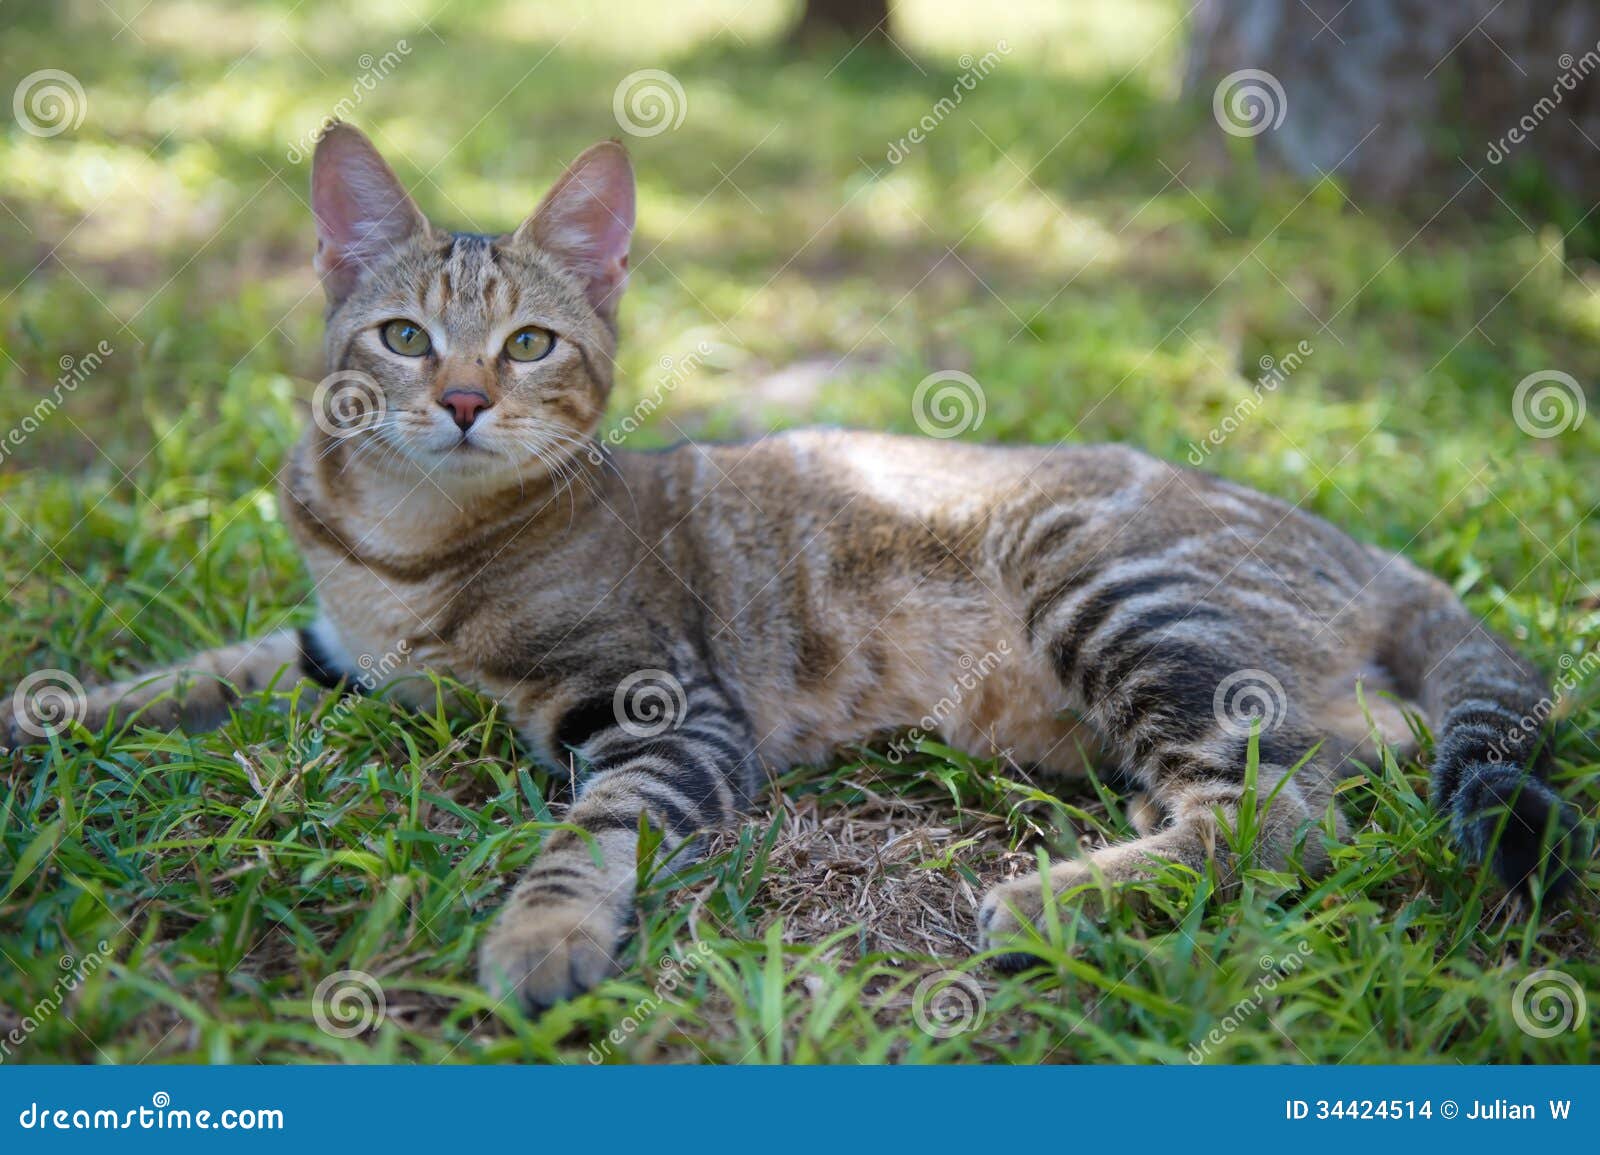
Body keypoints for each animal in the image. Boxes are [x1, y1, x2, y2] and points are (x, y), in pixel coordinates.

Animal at [6, 127, 1580, 1011]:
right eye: (403, 336)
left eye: (529, 343)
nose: (457, 398)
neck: (405, 543)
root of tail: (1360, 539)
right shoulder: (329, 657)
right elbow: (183, 670)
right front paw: (48, 705)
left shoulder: (665, 713)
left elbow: (584, 833)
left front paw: (541, 938)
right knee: (1340, 753)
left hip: (1104, 580)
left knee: (1291, 806)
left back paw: (1055, 899)